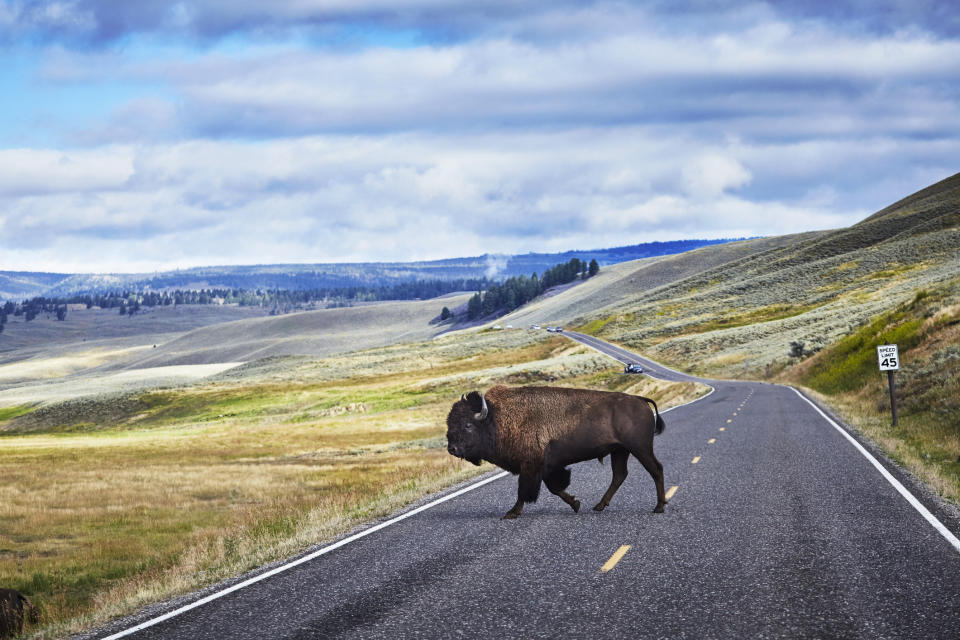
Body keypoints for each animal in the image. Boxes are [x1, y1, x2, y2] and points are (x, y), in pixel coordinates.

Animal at [444, 384, 664, 520]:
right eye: (449, 423)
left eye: (467, 425)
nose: (452, 448)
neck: (495, 418)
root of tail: (639, 400)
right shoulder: (546, 467)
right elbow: (555, 488)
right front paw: (576, 504)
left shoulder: (531, 467)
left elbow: (525, 491)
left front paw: (512, 513)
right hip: (620, 451)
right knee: (620, 475)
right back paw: (599, 505)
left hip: (639, 448)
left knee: (656, 469)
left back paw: (659, 507)